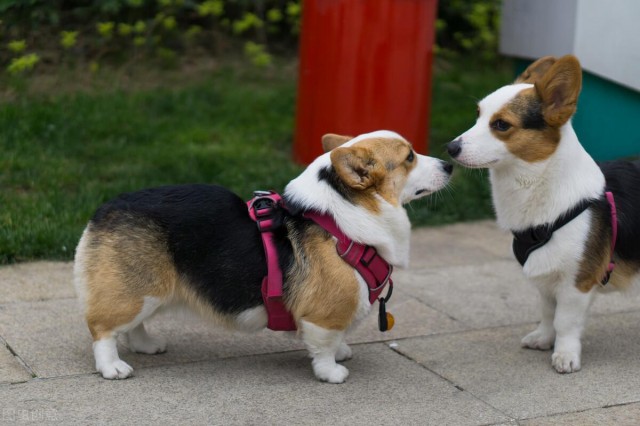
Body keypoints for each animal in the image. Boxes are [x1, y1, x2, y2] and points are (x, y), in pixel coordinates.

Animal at [75, 130, 452, 382]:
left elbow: (338, 337)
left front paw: (342, 351)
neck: (345, 216)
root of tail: (103, 211)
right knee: (102, 329)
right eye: (409, 157)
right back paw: (112, 367)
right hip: (137, 292)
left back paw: (146, 344)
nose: (449, 163)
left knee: (132, 325)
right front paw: (332, 371)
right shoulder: (322, 315)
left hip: (150, 292)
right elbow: (324, 344)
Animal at [448, 55, 640, 372]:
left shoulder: (577, 282)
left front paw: (565, 355)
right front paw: (543, 338)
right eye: (477, 115)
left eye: (501, 125)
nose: (450, 148)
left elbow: (565, 322)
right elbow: (548, 313)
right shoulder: (547, 279)